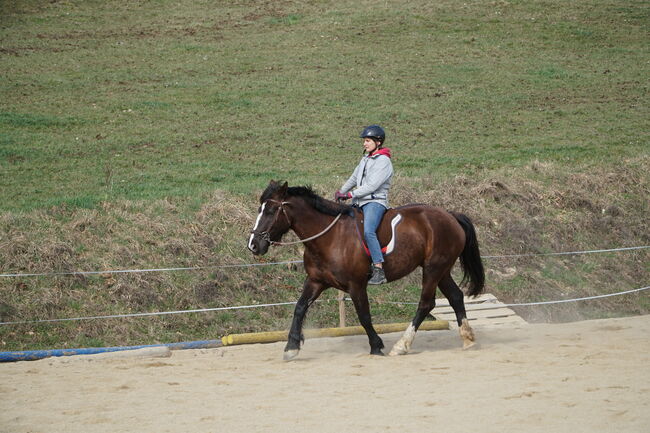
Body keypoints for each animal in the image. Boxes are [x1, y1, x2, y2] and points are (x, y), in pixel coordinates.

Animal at [246, 181, 484, 360]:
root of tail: (450, 215)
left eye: (270, 210)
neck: (330, 237)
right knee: (455, 296)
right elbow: (299, 308)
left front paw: (376, 345)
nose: (253, 245)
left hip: (433, 269)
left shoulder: (356, 285)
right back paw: (468, 339)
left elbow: (364, 316)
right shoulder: (315, 281)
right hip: (441, 270)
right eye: (260, 210)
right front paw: (291, 347)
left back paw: (402, 345)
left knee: (426, 304)